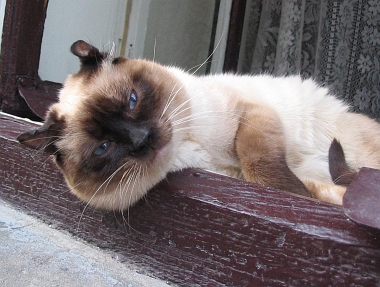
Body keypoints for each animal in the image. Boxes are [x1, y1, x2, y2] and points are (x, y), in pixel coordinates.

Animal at [17, 40, 380, 212]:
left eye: (133, 101)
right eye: (103, 148)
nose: (142, 138)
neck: (189, 144)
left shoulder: (250, 114)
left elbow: (261, 167)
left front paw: (292, 197)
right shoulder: (235, 173)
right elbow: (305, 187)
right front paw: (303, 196)